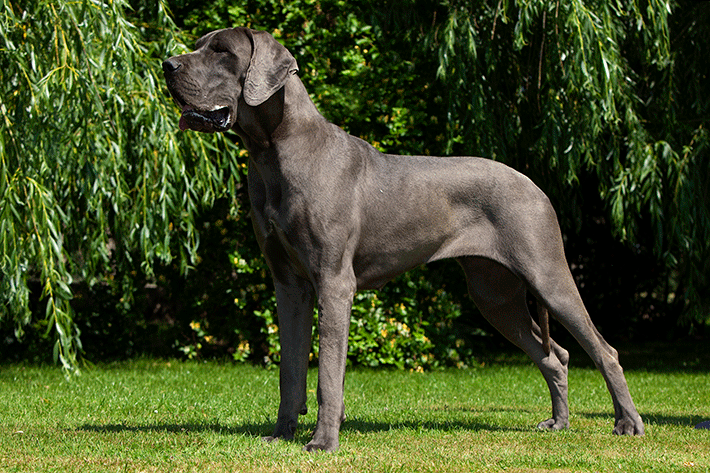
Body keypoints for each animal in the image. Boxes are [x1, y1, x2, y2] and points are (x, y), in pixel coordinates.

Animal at [164, 26, 648, 450]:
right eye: (200, 45)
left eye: (222, 52)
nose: (168, 64)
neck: (273, 151)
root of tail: (535, 185)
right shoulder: (289, 285)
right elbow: (291, 369)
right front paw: (282, 433)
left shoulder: (334, 282)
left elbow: (327, 375)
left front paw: (323, 441)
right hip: (495, 294)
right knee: (556, 355)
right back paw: (559, 422)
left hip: (547, 274)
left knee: (604, 349)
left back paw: (627, 423)